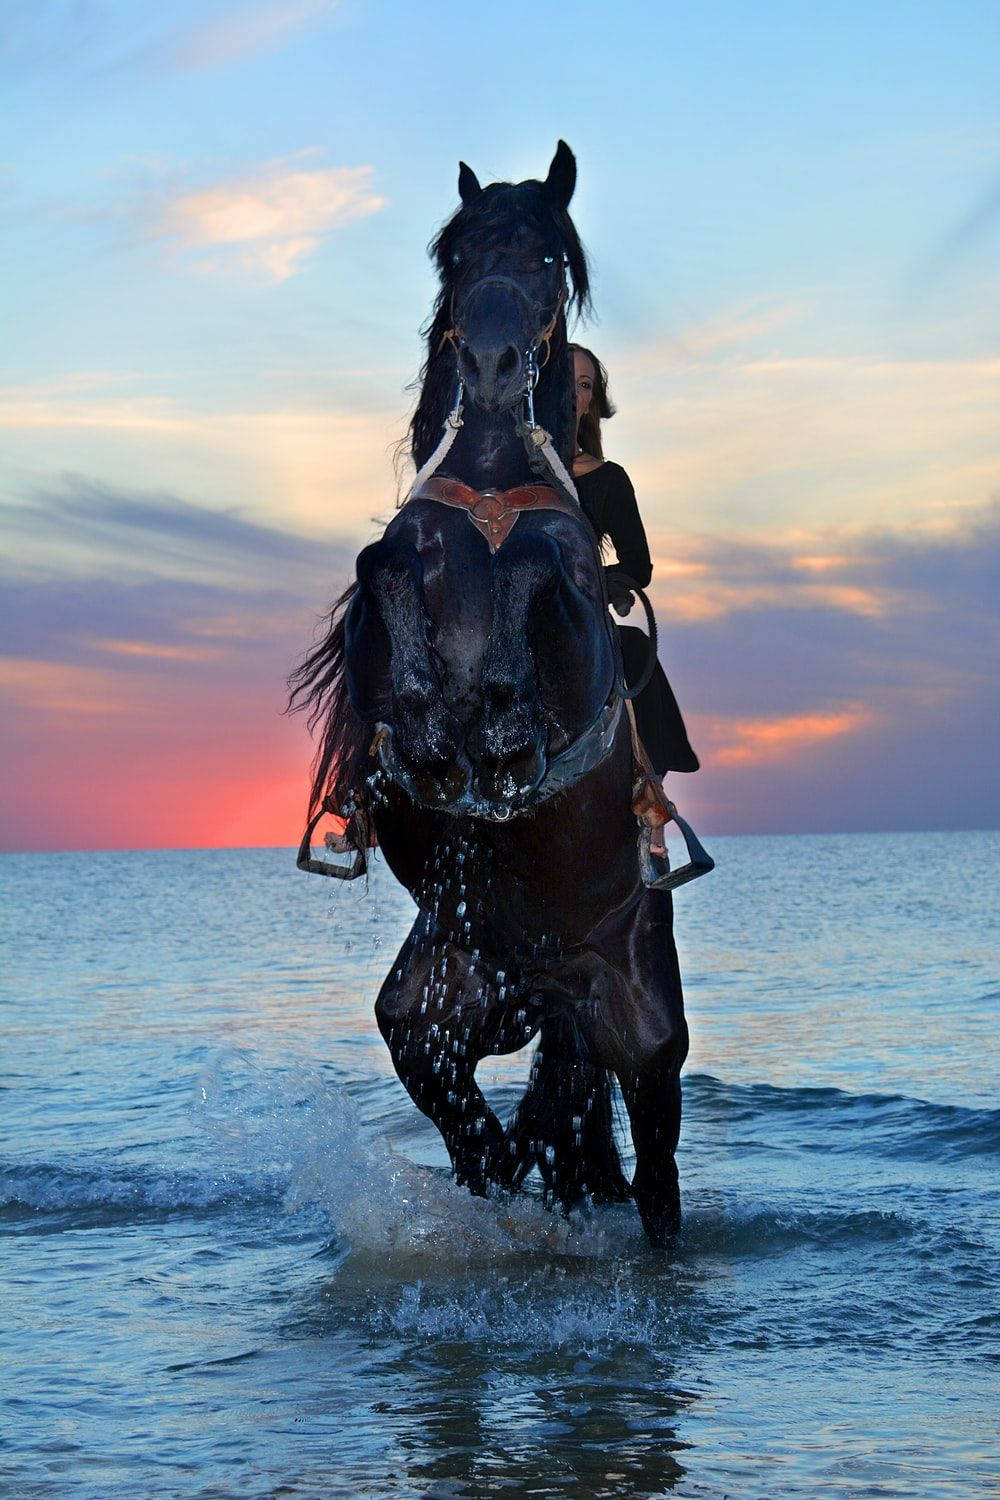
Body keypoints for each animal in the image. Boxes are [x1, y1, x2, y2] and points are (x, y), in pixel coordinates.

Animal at [290, 143, 704, 1242]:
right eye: (458, 250)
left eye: (550, 256)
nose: (486, 361)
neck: (486, 474)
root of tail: (550, 976)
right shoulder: (385, 598)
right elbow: (383, 563)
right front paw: (437, 732)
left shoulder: (574, 613)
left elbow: (540, 564)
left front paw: (506, 728)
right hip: (434, 1017)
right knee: (481, 1139)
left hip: (645, 1043)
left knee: (654, 1181)